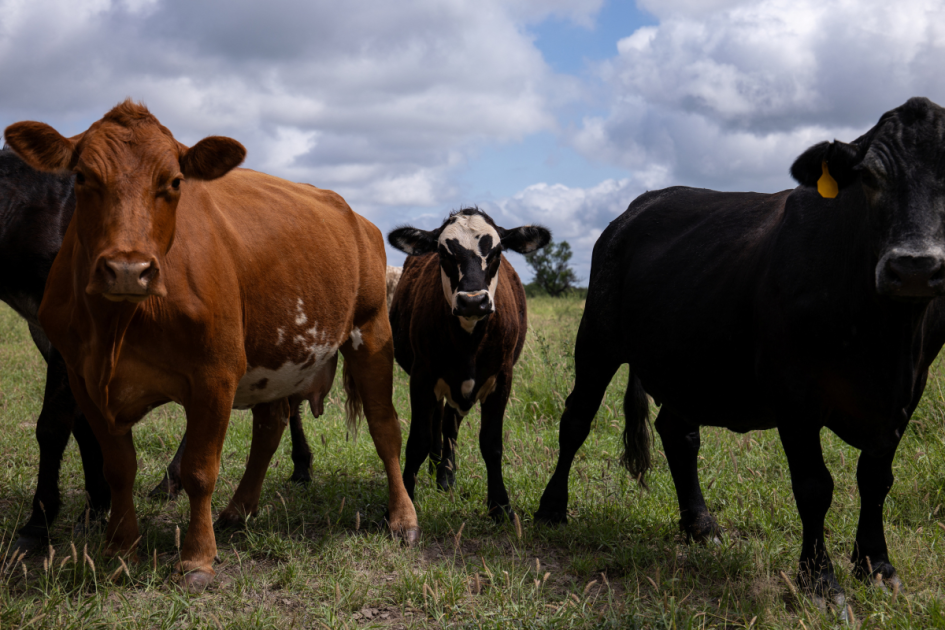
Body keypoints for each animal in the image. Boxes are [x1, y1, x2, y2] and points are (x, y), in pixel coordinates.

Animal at [388, 208, 550, 520]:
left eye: (497, 252)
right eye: (443, 252)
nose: (473, 301)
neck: (469, 342)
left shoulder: (501, 379)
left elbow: (491, 443)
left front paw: (500, 505)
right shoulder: (422, 377)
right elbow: (417, 441)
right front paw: (406, 500)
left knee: (449, 427)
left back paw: (444, 474)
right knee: (439, 423)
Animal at [535, 97, 945, 610]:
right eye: (870, 177)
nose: (914, 267)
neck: (884, 337)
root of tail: (642, 204)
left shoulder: (907, 391)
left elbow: (875, 477)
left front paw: (877, 567)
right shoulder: (795, 391)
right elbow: (815, 486)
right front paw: (819, 581)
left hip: (687, 356)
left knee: (678, 432)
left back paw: (701, 525)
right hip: (597, 338)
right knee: (576, 419)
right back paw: (551, 509)